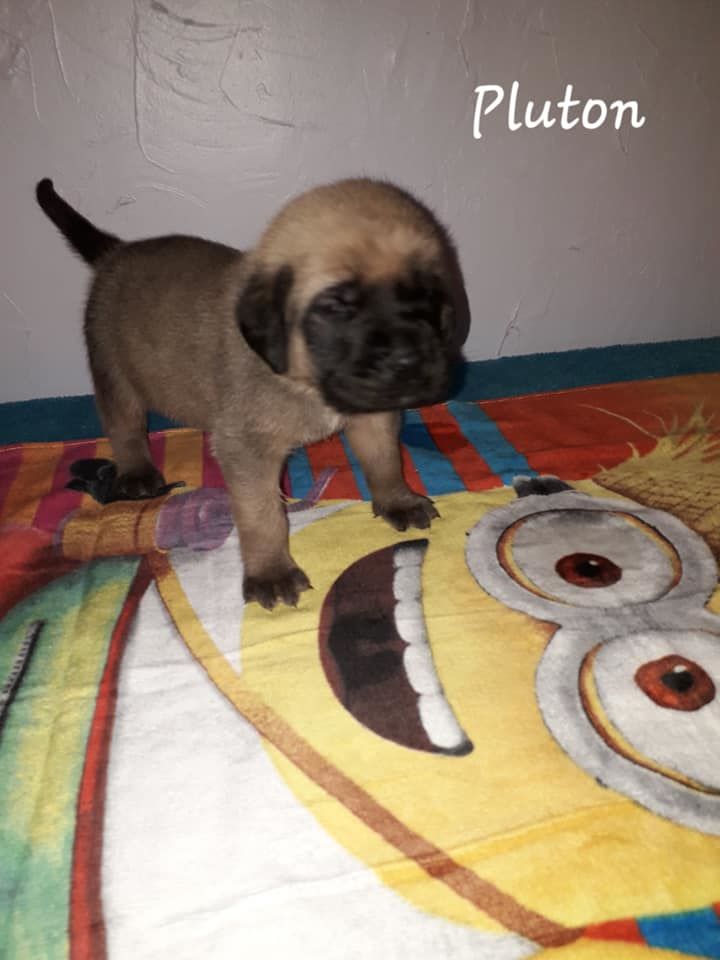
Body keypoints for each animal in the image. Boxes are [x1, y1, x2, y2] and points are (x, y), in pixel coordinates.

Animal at [35, 177, 467, 609]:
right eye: (336, 307)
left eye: (427, 297)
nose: (408, 360)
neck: (303, 381)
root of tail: (116, 252)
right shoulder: (248, 449)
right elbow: (263, 516)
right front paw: (271, 571)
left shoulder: (374, 415)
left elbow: (385, 460)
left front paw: (397, 499)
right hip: (114, 372)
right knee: (124, 428)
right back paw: (137, 471)